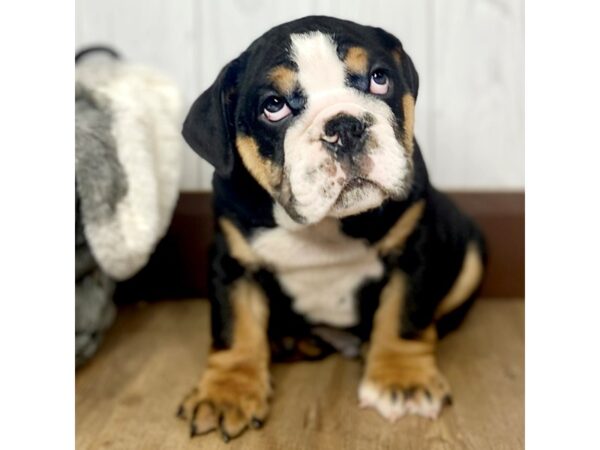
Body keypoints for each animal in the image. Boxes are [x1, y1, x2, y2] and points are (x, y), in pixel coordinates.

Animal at [176, 14, 486, 442]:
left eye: (379, 79)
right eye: (274, 106)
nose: (345, 125)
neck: (323, 226)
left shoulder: (415, 246)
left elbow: (405, 315)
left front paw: (402, 380)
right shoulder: (233, 261)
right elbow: (234, 328)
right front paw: (227, 393)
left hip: (470, 258)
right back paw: (291, 340)